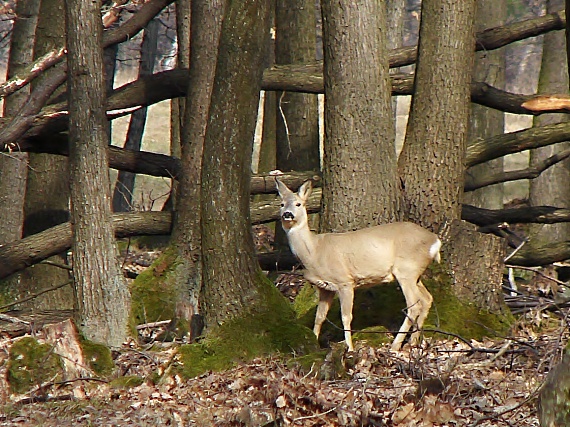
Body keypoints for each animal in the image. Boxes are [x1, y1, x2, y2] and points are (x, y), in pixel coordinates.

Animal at [274, 179, 440, 352]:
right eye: (281, 204)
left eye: (298, 204)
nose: (287, 214)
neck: (314, 250)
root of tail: (435, 240)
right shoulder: (325, 288)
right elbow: (319, 317)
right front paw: (314, 342)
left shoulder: (345, 281)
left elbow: (346, 317)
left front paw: (350, 347)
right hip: (415, 273)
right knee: (427, 299)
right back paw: (412, 342)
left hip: (406, 270)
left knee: (414, 305)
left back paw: (395, 345)